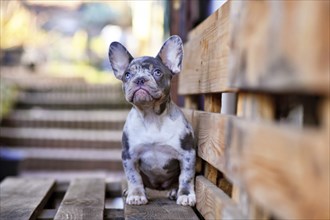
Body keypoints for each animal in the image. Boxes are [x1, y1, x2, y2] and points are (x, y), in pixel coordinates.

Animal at [108, 35, 196, 205]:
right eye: (127, 75)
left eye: (157, 72)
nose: (140, 79)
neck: (151, 117)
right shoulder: (129, 156)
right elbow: (134, 177)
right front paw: (136, 195)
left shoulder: (187, 154)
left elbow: (186, 177)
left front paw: (186, 195)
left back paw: (174, 191)